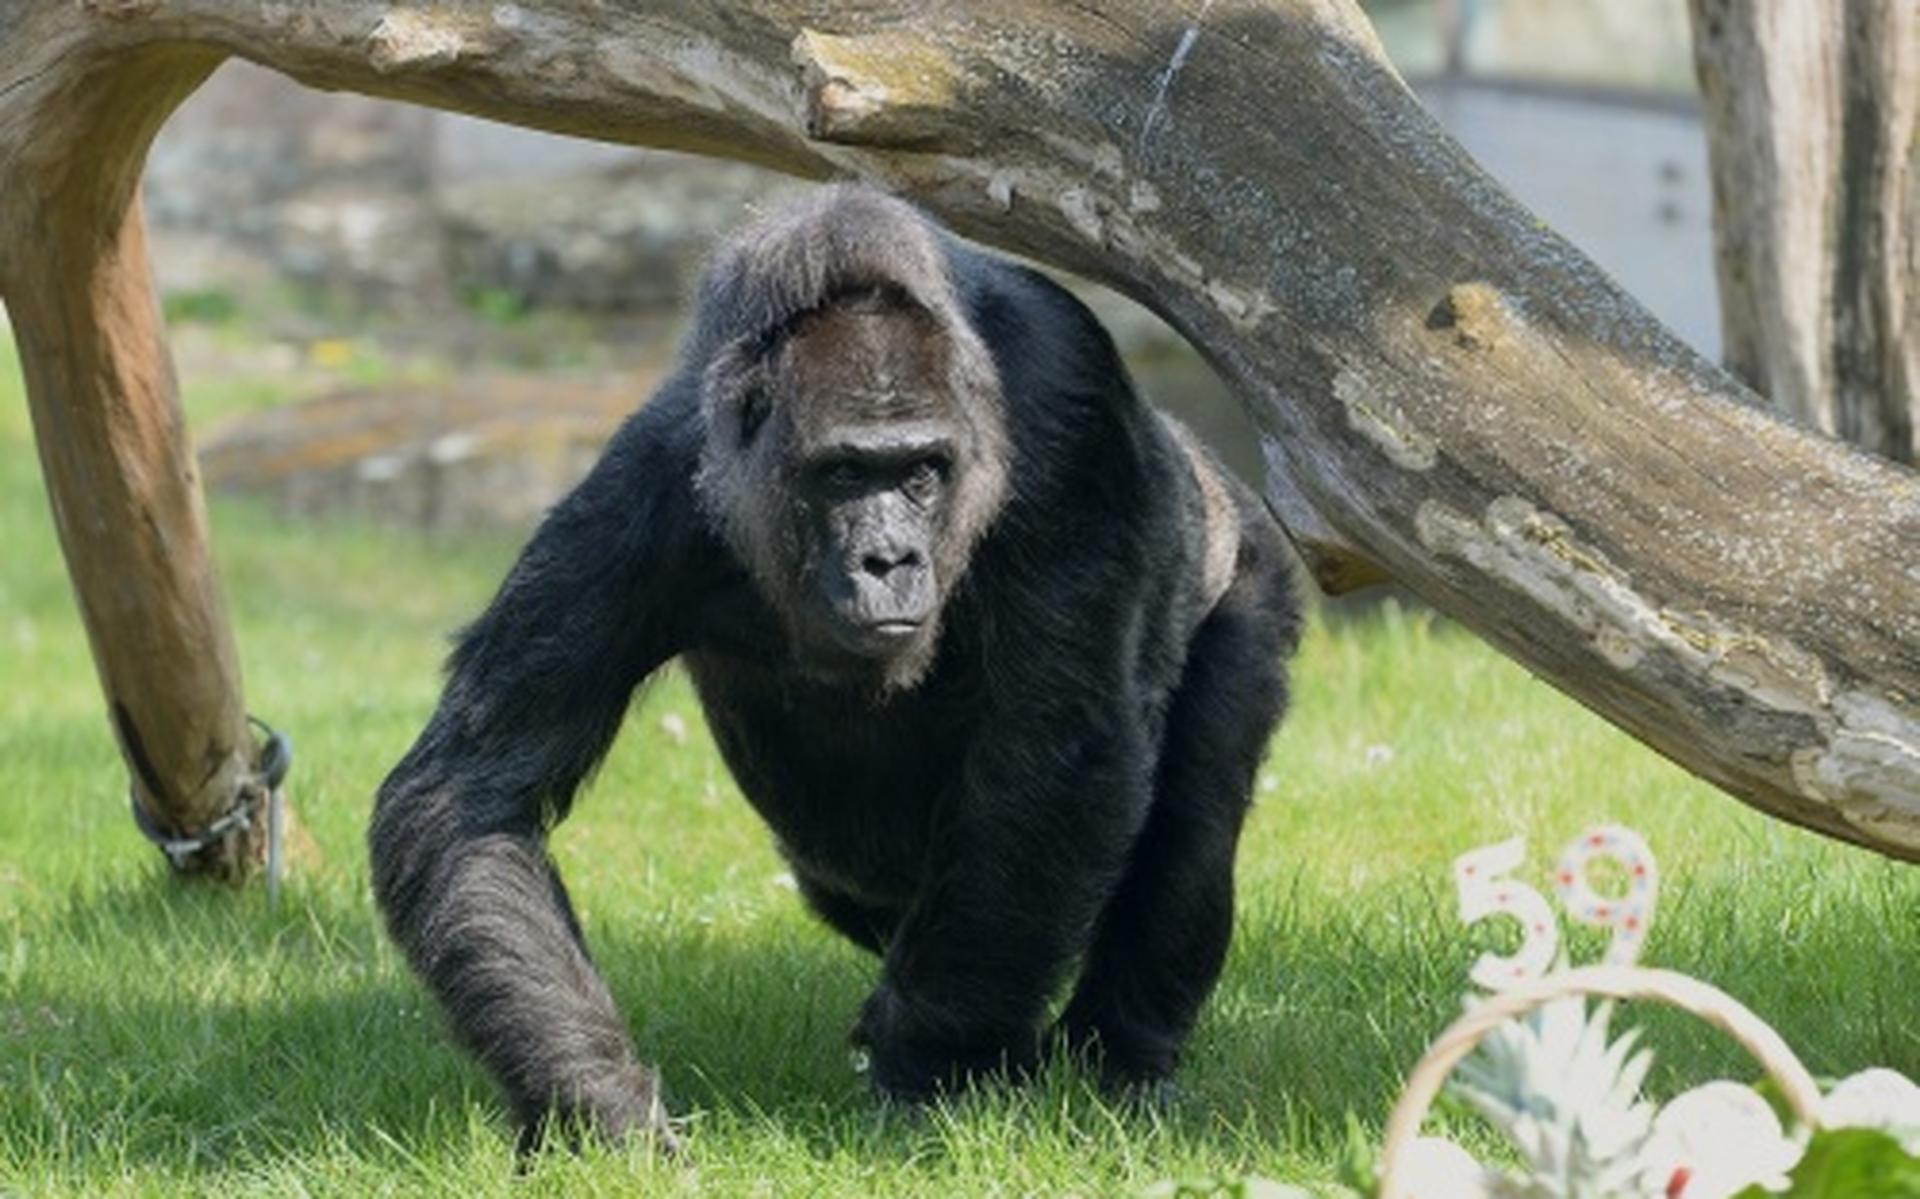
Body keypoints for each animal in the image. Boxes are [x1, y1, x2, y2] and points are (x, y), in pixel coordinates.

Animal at [369, 184, 1299, 1149]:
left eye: (922, 471)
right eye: (845, 472)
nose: (889, 558)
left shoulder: (1070, 423)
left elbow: (1055, 752)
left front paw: (933, 1058)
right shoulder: (640, 498)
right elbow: (470, 794)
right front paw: (593, 1101)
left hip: (1249, 560)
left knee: (1189, 814)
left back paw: (1120, 1060)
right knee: (853, 886)